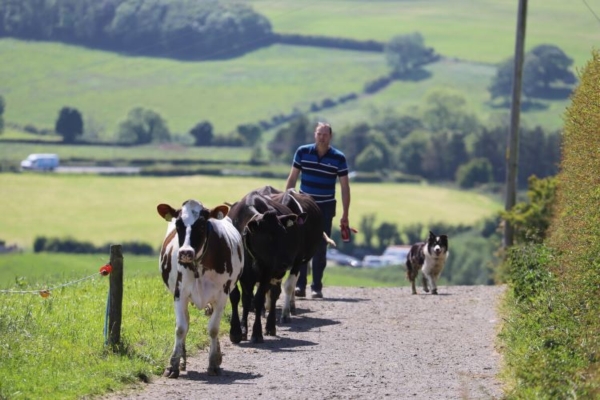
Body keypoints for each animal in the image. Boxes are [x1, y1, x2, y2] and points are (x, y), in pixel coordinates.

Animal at [159, 200, 246, 378]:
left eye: (201, 225)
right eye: (178, 225)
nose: (185, 253)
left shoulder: (221, 296)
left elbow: (213, 329)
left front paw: (213, 363)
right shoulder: (180, 294)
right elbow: (181, 328)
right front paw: (173, 365)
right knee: (186, 323)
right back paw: (183, 359)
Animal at [229, 191, 308, 344]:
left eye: (285, 234)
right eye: (269, 236)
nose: (287, 262)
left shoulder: (267, 274)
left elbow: (259, 300)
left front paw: (256, 333)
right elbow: (236, 297)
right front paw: (237, 331)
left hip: (279, 272)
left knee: (273, 294)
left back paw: (270, 326)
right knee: (247, 299)